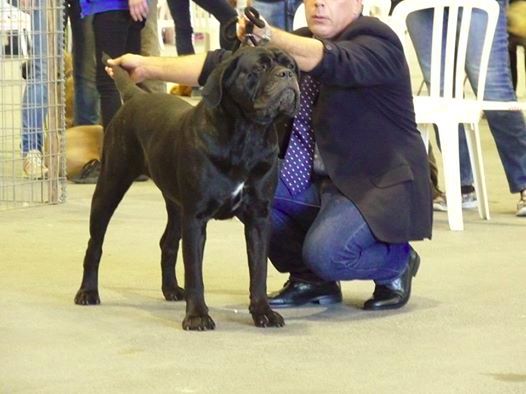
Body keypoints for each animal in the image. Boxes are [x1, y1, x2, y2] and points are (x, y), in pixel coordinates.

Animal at [74, 45, 302, 330]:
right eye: (259, 68)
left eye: (292, 66)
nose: (286, 74)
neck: (247, 135)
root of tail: (136, 96)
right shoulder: (195, 217)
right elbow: (194, 271)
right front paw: (197, 316)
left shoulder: (259, 217)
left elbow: (258, 271)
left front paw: (263, 312)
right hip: (111, 185)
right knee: (95, 243)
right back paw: (87, 292)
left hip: (175, 205)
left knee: (167, 243)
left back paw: (171, 289)